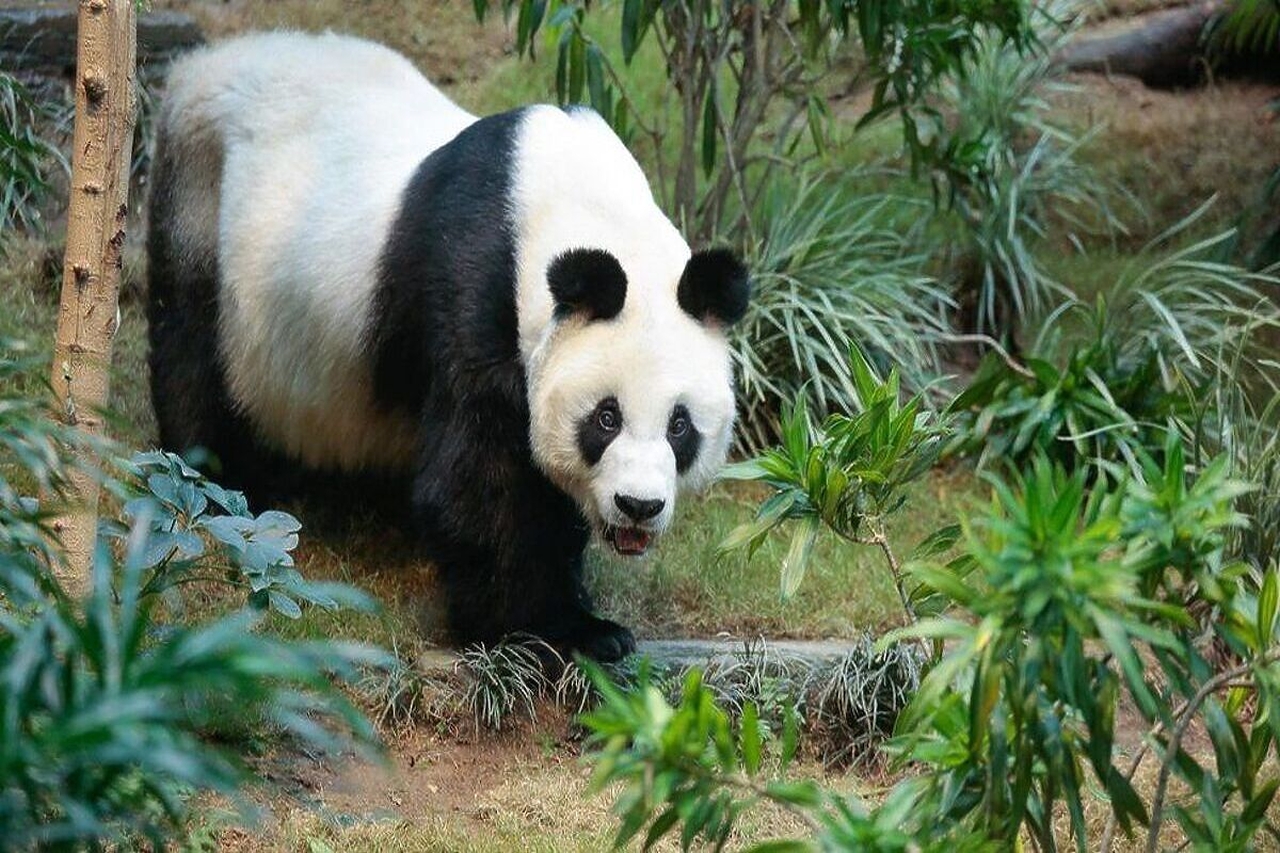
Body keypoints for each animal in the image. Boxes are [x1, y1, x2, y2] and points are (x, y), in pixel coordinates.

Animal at [148, 31, 747, 655]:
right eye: (606, 418)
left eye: (680, 426)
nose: (638, 506)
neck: (576, 204)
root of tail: (204, 62)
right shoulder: (475, 284)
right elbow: (480, 477)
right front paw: (555, 627)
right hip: (202, 199)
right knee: (192, 349)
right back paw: (217, 482)